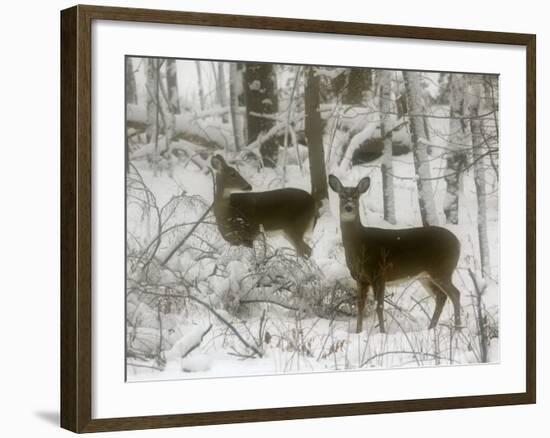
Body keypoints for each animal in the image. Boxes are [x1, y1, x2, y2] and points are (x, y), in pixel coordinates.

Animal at [330, 174, 464, 332]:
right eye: (341, 195)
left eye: (356, 196)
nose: (349, 207)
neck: (360, 244)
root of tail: (458, 243)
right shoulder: (360, 279)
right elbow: (360, 306)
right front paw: (358, 332)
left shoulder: (379, 273)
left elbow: (379, 306)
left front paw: (382, 332)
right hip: (425, 276)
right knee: (441, 296)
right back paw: (431, 328)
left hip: (442, 269)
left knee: (455, 294)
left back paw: (457, 329)